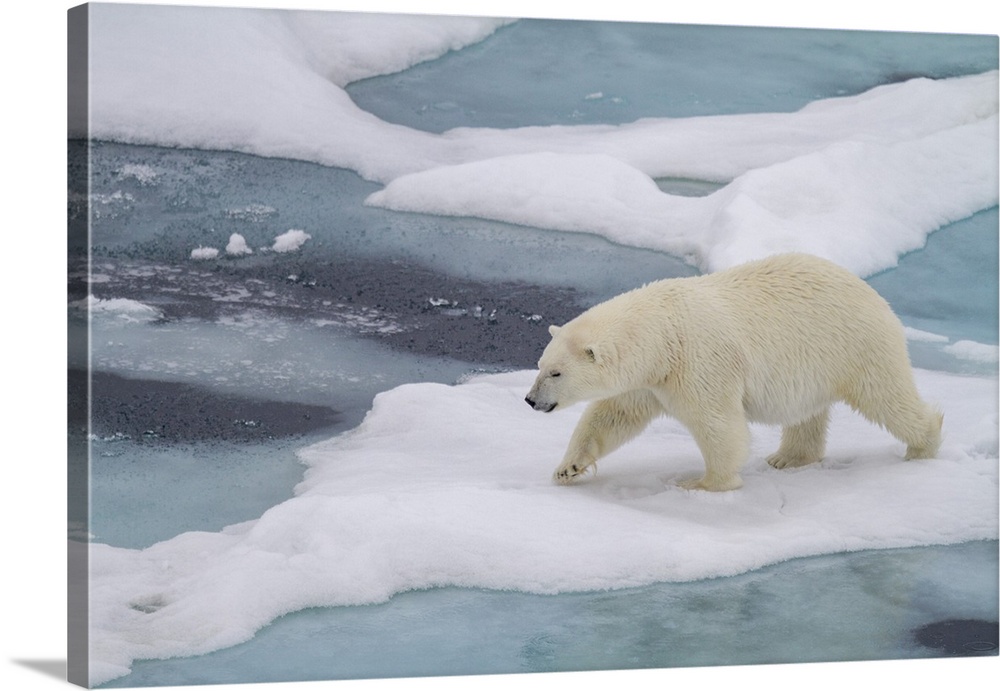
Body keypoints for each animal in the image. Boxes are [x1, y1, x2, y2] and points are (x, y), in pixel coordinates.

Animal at [524, 252, 942, 491]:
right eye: (540, 365)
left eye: (556, 374)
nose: (530, 400)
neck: (664, 331)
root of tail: (871, 292)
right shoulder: (648, 378)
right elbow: (612, 416)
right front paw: (567, 469)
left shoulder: (698, 361)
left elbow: (718, 424)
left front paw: (704, 483)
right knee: (806, 414)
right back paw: (787, 458)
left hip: (854, 344)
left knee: (886, 396)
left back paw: (925, 443)